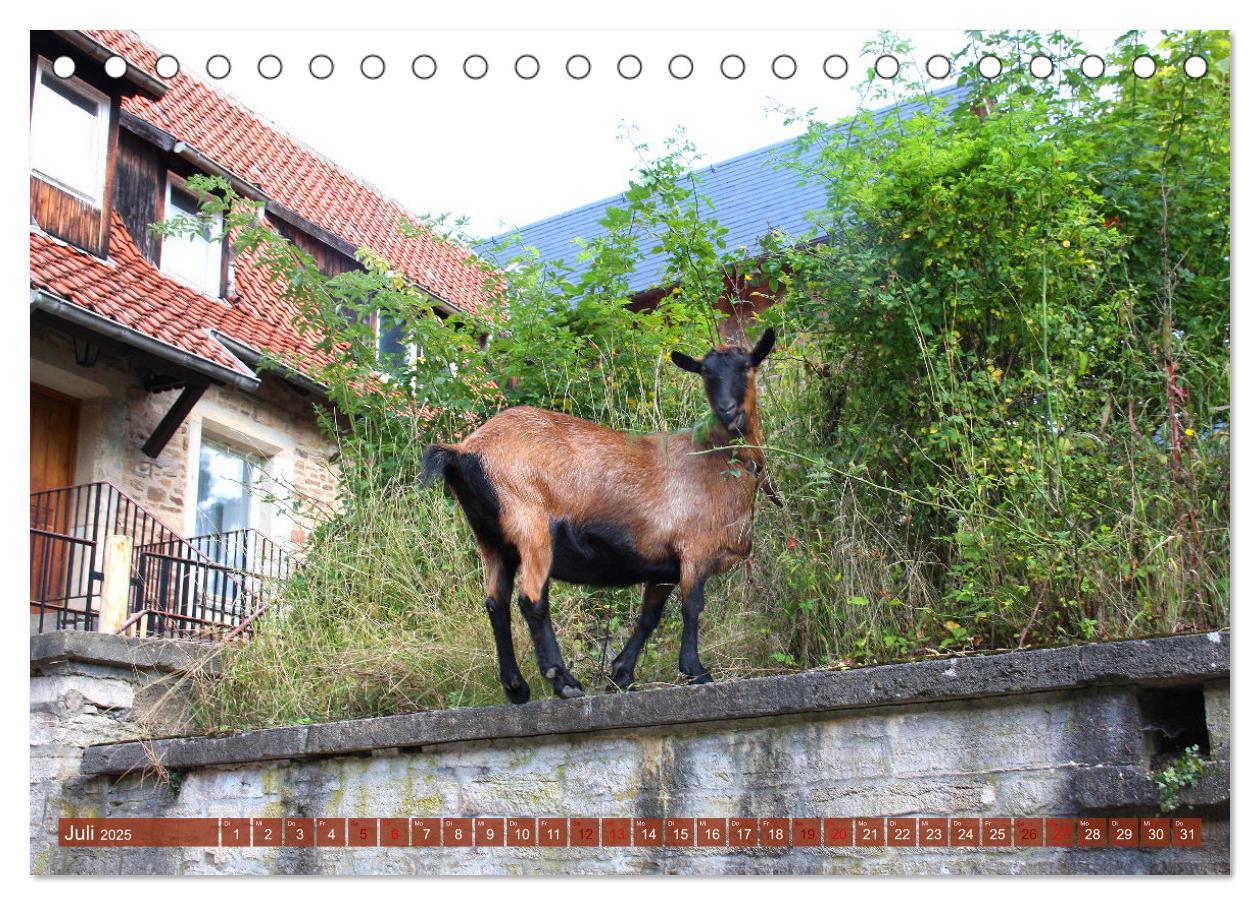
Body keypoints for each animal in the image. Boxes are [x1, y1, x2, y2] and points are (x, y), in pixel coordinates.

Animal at [425, 330, 776, 705]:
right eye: (706, 372)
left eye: (746, 366)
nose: (728, 411)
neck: (715, 458)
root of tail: (464, 452)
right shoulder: (695, 550)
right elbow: (692, 607)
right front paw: (696, 672)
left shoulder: (663, 564)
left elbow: (649, 617)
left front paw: (622, 674)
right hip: (531, 524)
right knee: (531, 599)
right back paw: (563, 680)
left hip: (491, 539)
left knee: (496, 603)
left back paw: (516, 687)